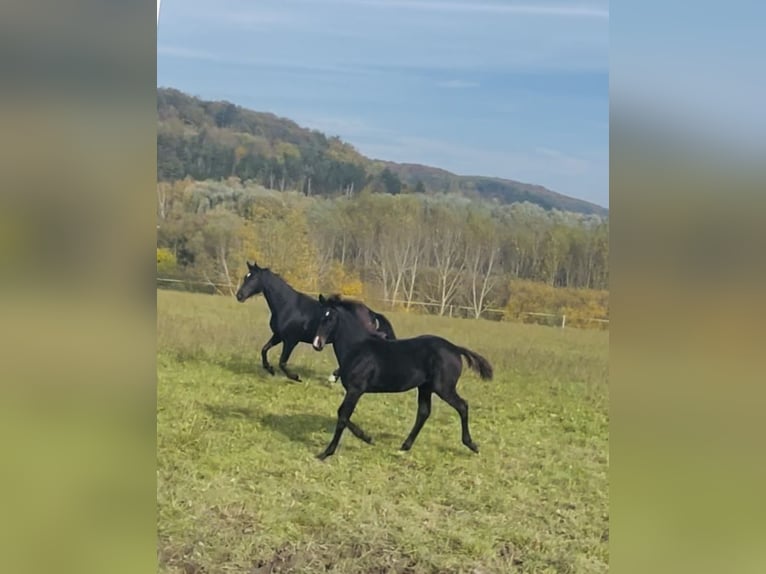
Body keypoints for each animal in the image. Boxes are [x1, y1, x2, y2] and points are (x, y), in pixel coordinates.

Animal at [236, 264, 396, 384]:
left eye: (254, 278)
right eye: (245, 277)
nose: (239, 296)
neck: (288, 306)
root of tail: (370, 312)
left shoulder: (291, 340)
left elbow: (282, 362)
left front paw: (295, 377)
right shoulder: (278, 336)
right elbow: (264, 350)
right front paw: (269, 368)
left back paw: (333, 377)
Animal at [314, 294, 498, 462]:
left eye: (331, 319)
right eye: (321, 316)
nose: (317, 344)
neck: (357, 349)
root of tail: (455, 348)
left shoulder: (355, 390)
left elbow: (342, 416)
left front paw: (326, 453)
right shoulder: (354, 391)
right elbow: (343, 414)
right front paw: (367, 437)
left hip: (443, 388)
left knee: (462, 406)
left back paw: (472, 445)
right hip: (425, 387)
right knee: (424, 412)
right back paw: (405, 446)